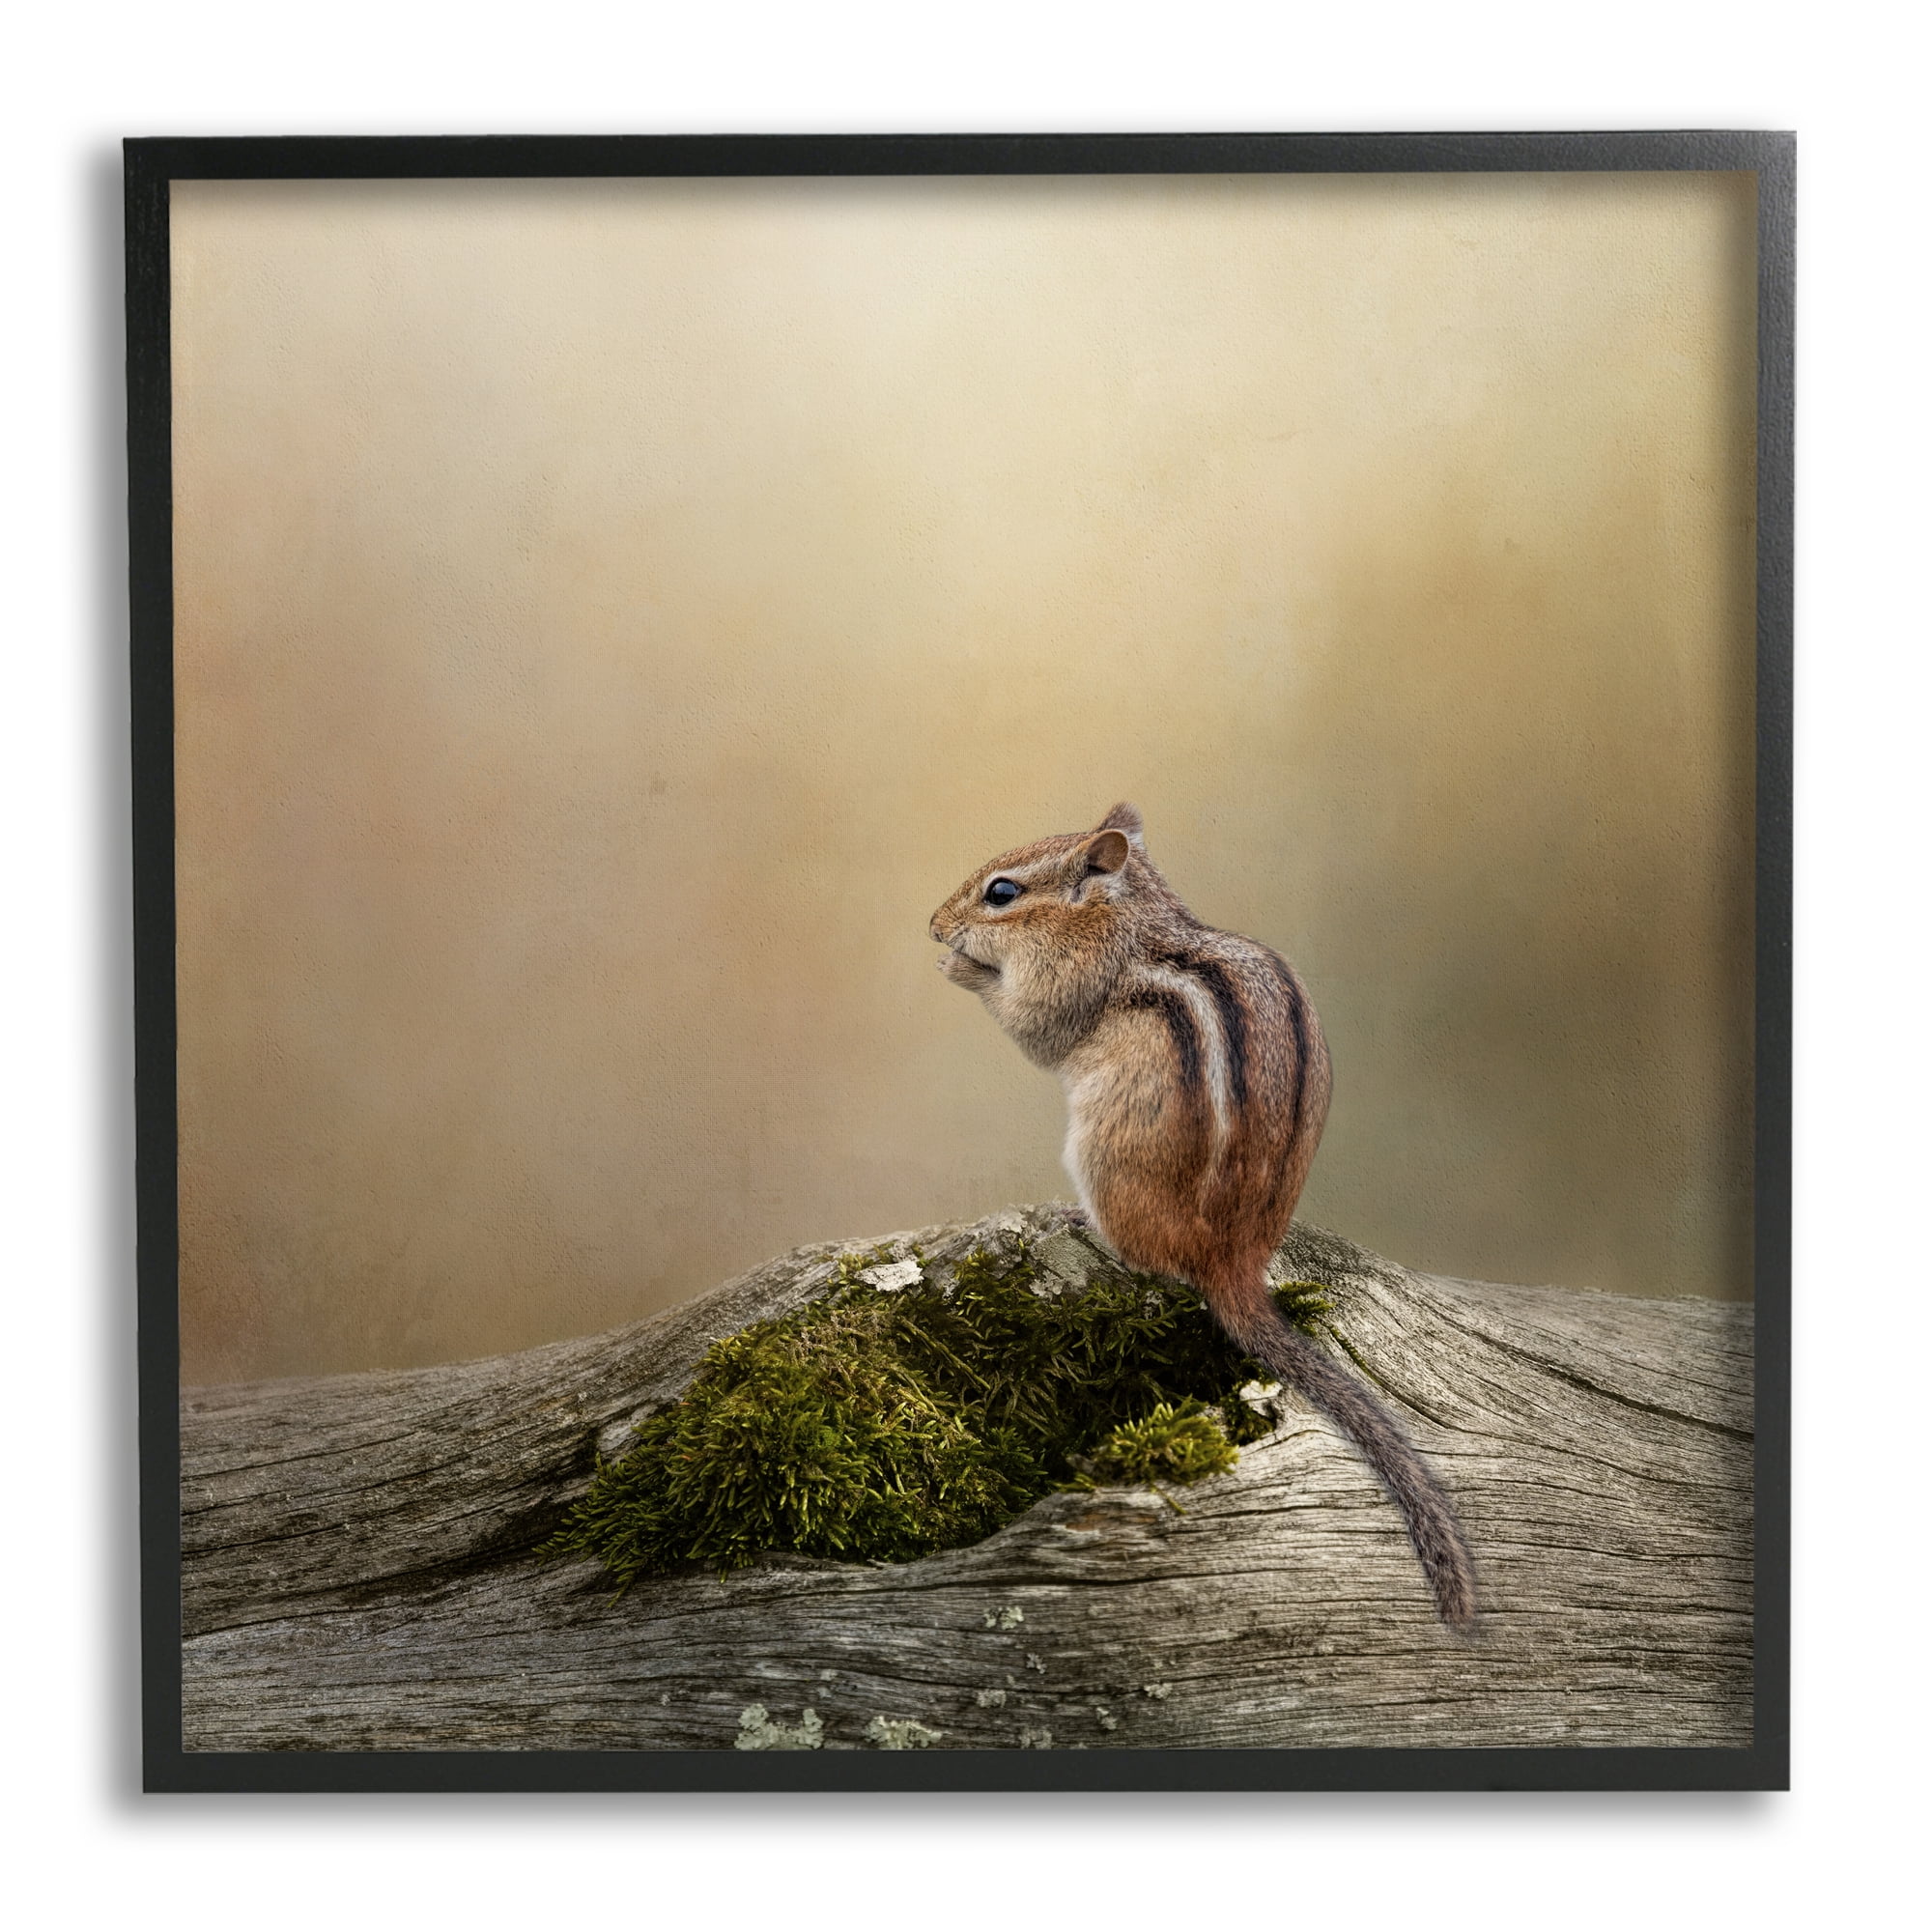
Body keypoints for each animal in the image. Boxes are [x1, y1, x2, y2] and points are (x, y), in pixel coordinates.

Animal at [930, 802, 1477, 1628]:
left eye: (1001, 893)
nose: (933, 926)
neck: (1128, 920)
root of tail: (1235, 1262)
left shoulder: (1067, 986)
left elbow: (1034, 1027)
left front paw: (961, 969)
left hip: (1103, 1154)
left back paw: (1077, 1222)